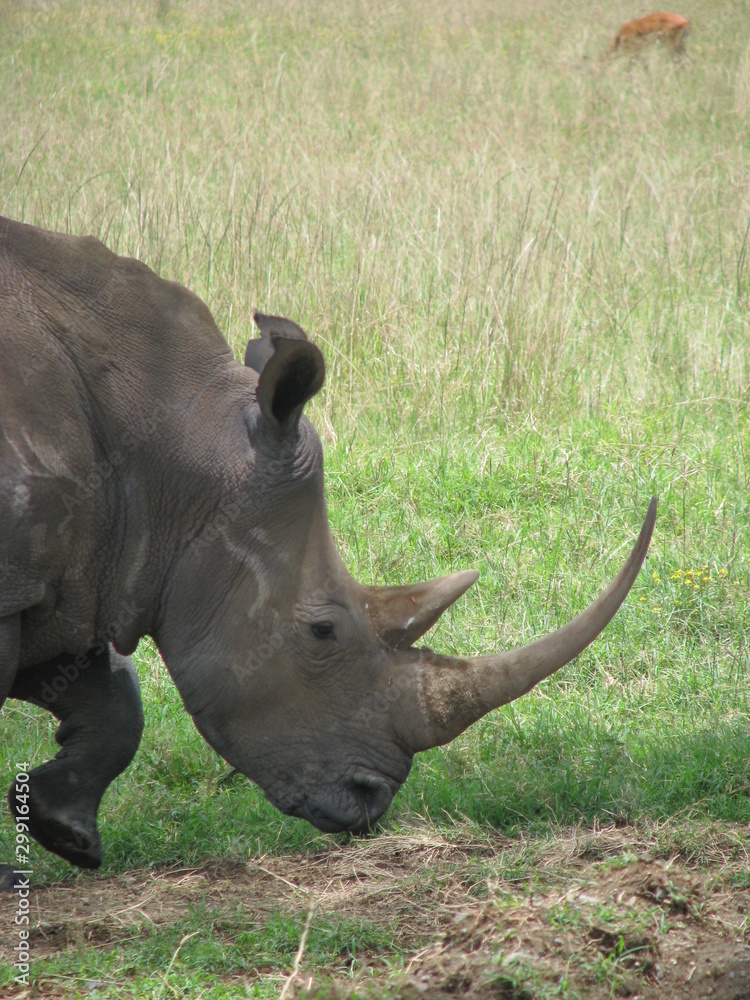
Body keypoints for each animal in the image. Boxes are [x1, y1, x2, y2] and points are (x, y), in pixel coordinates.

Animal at [0, 215, 656, 871]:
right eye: (323, 631)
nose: (371, 800)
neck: (178, 453)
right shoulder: (33, 580)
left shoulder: (79, 573)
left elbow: (115, 701)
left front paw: (66, 831)